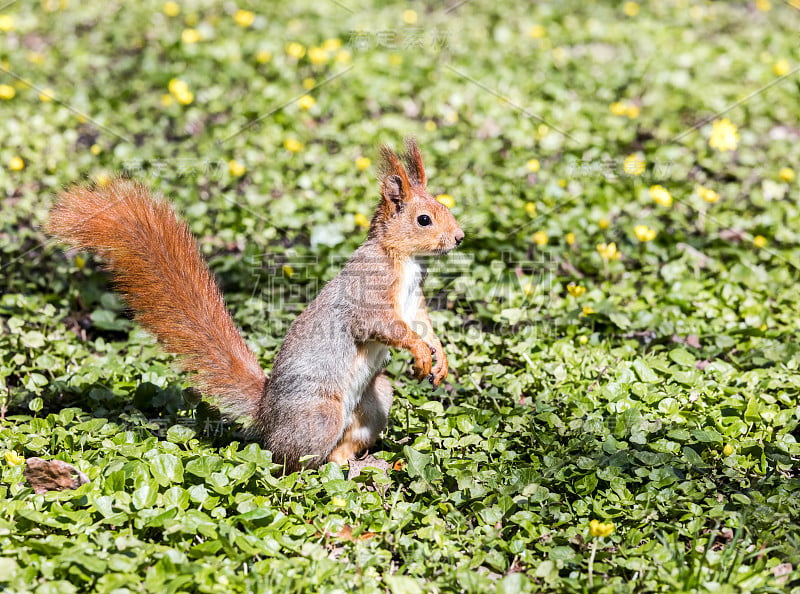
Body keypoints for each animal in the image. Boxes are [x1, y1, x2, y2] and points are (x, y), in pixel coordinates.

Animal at [48, 136, 462, 470]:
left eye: (445, 207)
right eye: (424, 219)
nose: (459, 237)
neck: (403, 259)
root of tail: (266, 415)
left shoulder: (413, 302)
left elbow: (422, 324)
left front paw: (438, 355)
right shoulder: (370, 292)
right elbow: (383, 325)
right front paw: (419, 351)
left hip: (376, 399)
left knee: (343, 445)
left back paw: (360, 465)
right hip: (320, 414)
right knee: (292, 462)